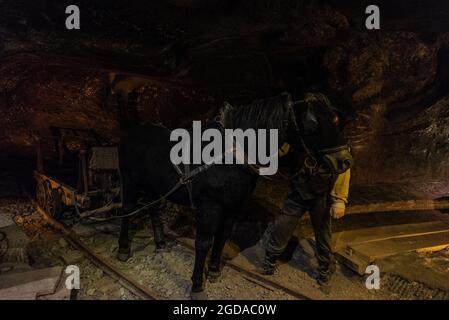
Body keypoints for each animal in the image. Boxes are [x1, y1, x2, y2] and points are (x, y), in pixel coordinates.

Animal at [115, 91, 346, 298]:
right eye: (313, 122)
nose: (345, 161)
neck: (229, 155)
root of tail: (130, 133)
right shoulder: (209, 206)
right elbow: (203, 243)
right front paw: (197, 286)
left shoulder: (234, 205)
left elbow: (222, 237)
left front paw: (214, 272)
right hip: (129, 182)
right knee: (127, 210)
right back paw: (123, 250)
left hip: (153, 186)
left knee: (152, 207)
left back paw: (160, 242)